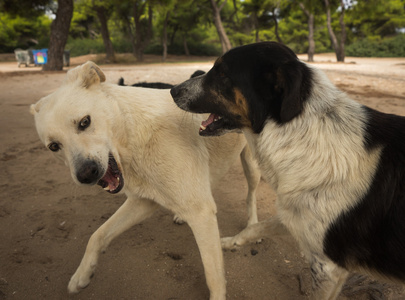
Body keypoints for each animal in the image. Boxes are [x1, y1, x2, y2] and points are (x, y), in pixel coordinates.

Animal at [30, 61, 258, 300]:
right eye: (54, 146)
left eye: (84, 122)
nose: (86, 174)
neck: (134, 135)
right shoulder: (143, 202)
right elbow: (97, 235)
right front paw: (82, 275)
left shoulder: (201, 214)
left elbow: (213, 274)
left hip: (252, 165)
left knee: (251, 194)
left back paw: (252, 227)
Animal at [170, 41, 404, 298]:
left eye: (222, 73)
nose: (173, 91)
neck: (307, 137)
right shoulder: (295, 216)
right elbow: (255, 228)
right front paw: (228, 243)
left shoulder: (328, 268)